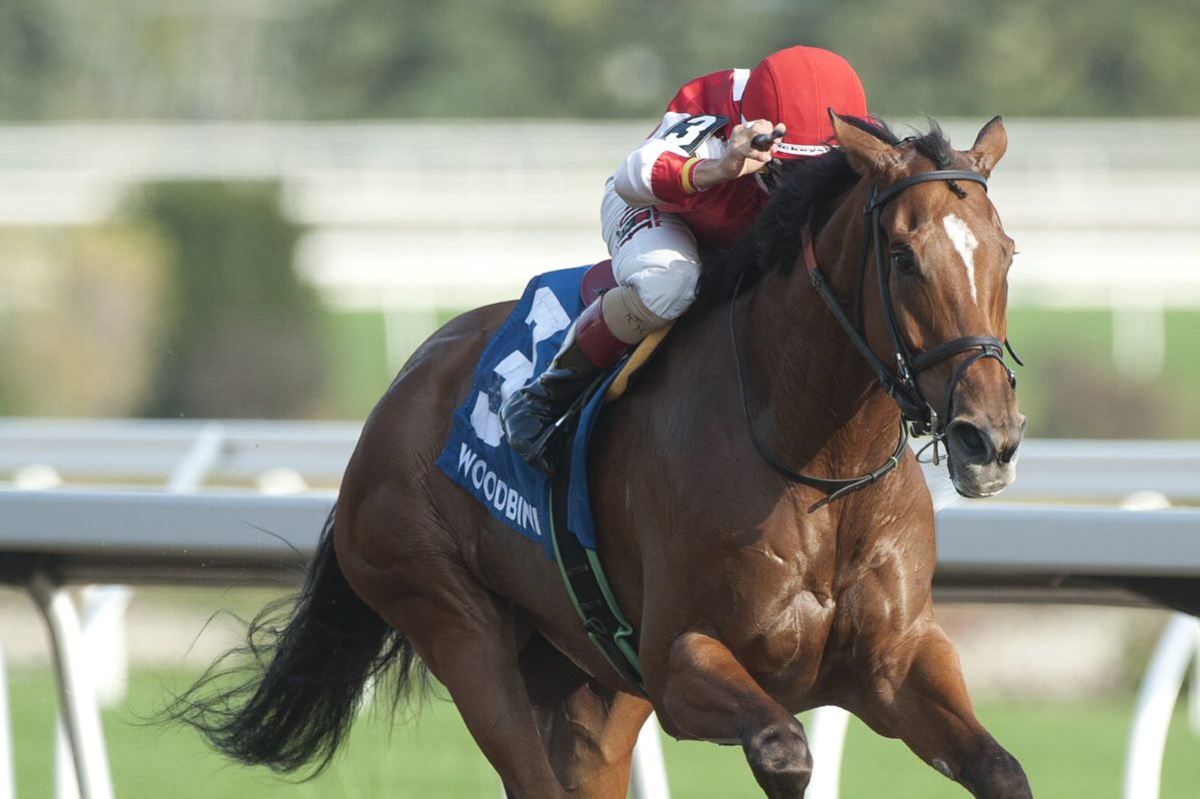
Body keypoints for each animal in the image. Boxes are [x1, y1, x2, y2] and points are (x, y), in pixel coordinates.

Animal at [171, 113, 1032, 796]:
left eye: (1008, 252)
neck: (821, 468)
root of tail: (403, 385)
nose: (988, 437)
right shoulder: (682, 660)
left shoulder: (895, 659)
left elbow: (1000, 768)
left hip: (588, 682)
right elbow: (785, 748)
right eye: (904, 257)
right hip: (452, 620)